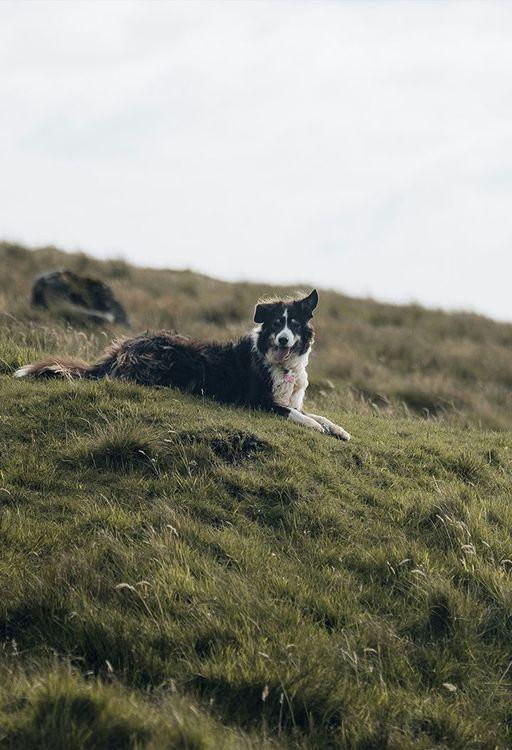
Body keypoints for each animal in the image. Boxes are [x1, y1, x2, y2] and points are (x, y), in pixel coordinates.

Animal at [17, 288, 352, 440]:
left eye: (293, 324)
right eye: (276, 324)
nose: (283, 340)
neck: (280, 365)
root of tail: (123, 347)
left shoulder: (291, 399)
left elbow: (317, 414)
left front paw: (338, 429)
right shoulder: (257, 401)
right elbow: (296, 415)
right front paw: (315, 427)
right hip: (177, 357)